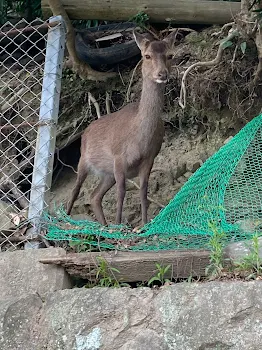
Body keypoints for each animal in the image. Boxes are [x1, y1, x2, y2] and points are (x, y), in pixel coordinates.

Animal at [66, 30, 176, 227]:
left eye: (170, 55)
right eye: (147, 56)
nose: (162, 74)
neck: (140, 139)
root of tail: (84, 132)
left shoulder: (149, 158)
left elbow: (143, 190)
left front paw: (144, 223)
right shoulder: (118, 157)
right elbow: (121, 191)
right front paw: (118, 224)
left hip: (106, 173)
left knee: (94, 196)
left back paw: (103, 225)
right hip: (83, 160)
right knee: (75, 190)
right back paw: (65, 219)